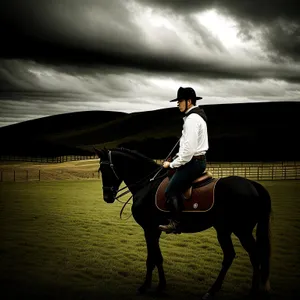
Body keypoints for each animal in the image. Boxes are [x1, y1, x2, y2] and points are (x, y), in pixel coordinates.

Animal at [95, 147, 272, 298]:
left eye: (104, 169)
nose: (107, 197)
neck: (148, 185)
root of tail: (253, 185)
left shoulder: (149, 229)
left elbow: (152, 258)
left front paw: (147, 287)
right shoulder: (155, 230)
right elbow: (157, 257)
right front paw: (160, 286)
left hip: (237, 230)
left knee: (243, 255)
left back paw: (220, 292)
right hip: (230, 230)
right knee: (246, 256)